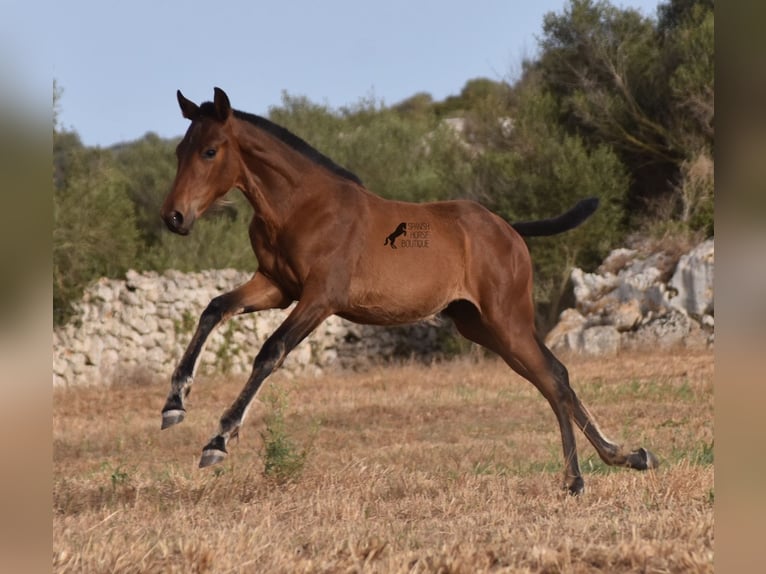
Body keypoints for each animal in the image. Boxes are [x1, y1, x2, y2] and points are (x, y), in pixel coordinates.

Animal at [159, 88, 656, 498]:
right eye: (180, 150)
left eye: (210, 151)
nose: (175, 217)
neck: (300, 206)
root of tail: (510, 230)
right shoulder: (276, 286)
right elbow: (213, 309)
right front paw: (174, 405)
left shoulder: (319, 298)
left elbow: (270, 351)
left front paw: (218, 439)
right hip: (480, 326)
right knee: (555, 377)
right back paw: (623, 458)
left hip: (505, 319)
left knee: (553, 377)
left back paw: (582, 477)